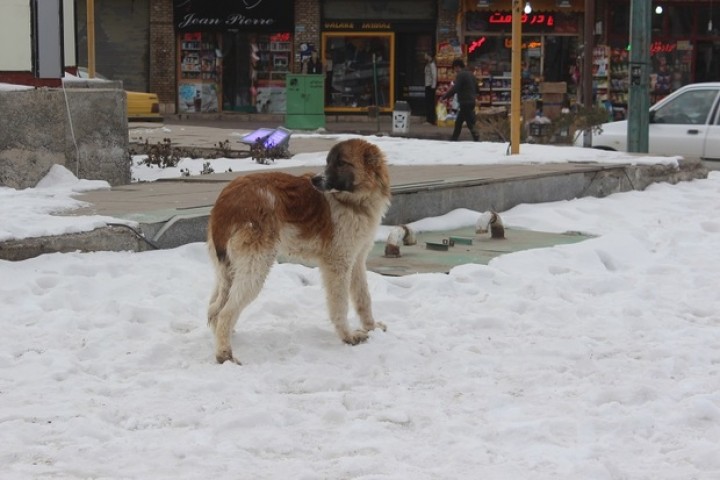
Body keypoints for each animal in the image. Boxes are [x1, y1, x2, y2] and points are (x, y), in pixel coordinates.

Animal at [205, 139, 390, 364]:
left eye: (340, 163)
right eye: (329, 162)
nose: (315, 180)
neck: (354, 200)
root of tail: (226, 199)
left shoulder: (357, 260)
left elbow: (364, 297)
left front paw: (371, 327)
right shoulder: (339, 263)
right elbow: (340, 304)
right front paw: (347, 336)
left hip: (230, 269)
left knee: (215, 309)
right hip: (255, 267)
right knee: (224, 312)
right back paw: (224, 355)